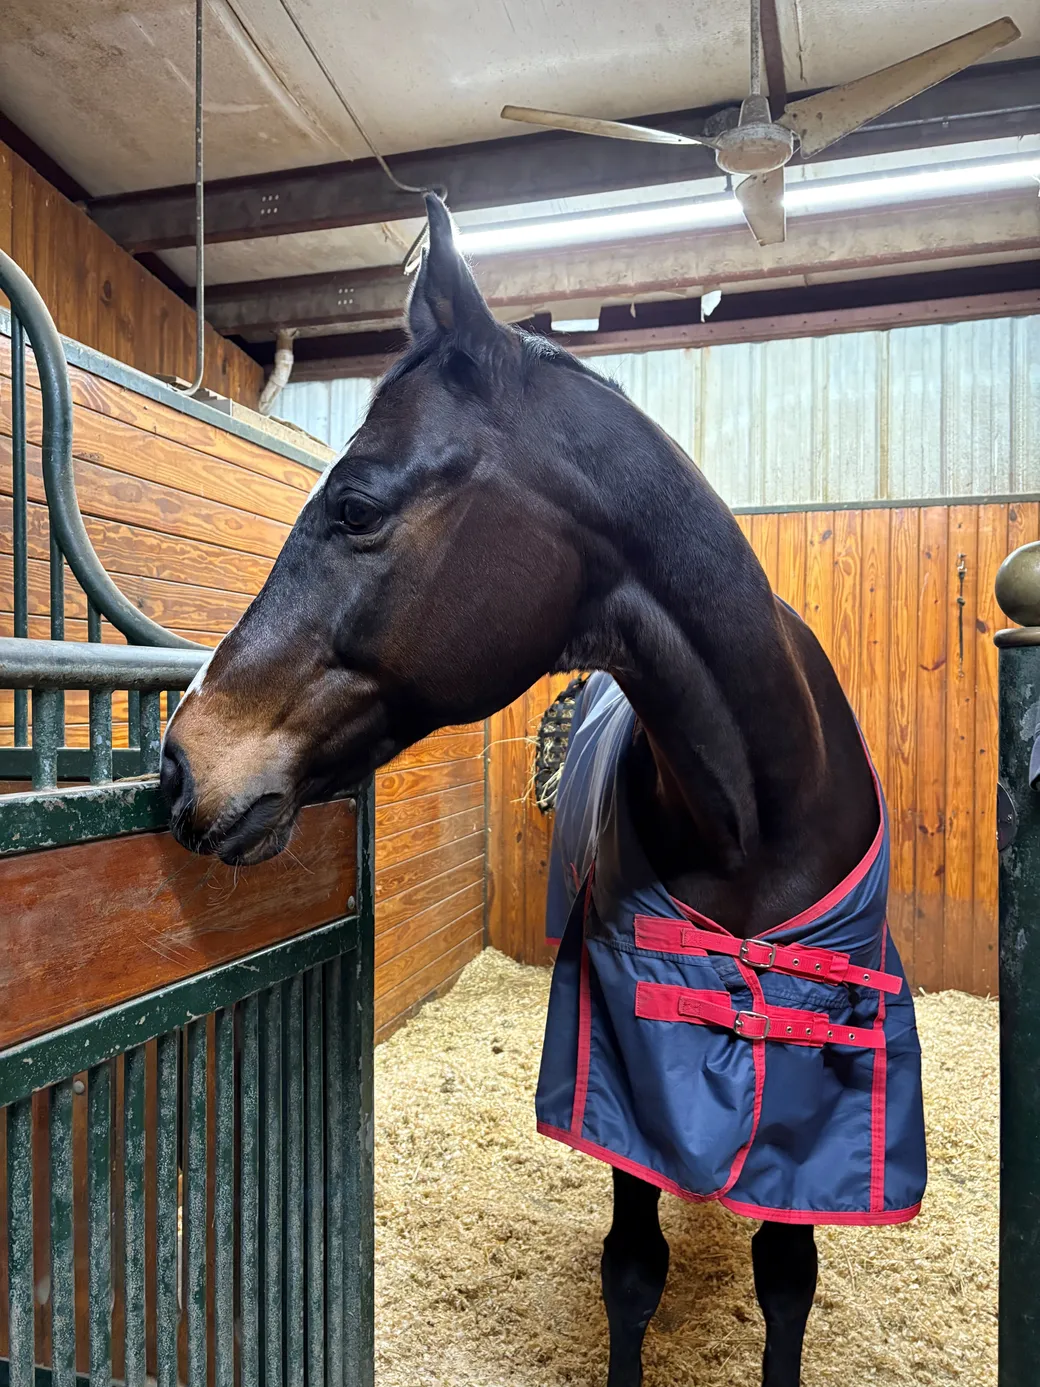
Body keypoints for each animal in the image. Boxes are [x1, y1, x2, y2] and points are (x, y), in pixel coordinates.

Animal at [161, 194, 925, 1387]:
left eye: (356, 504)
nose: (182, 756)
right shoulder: (622, 1076)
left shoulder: (814, 1098)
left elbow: (785, 1283)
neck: (756, 814)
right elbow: (633, 1272)